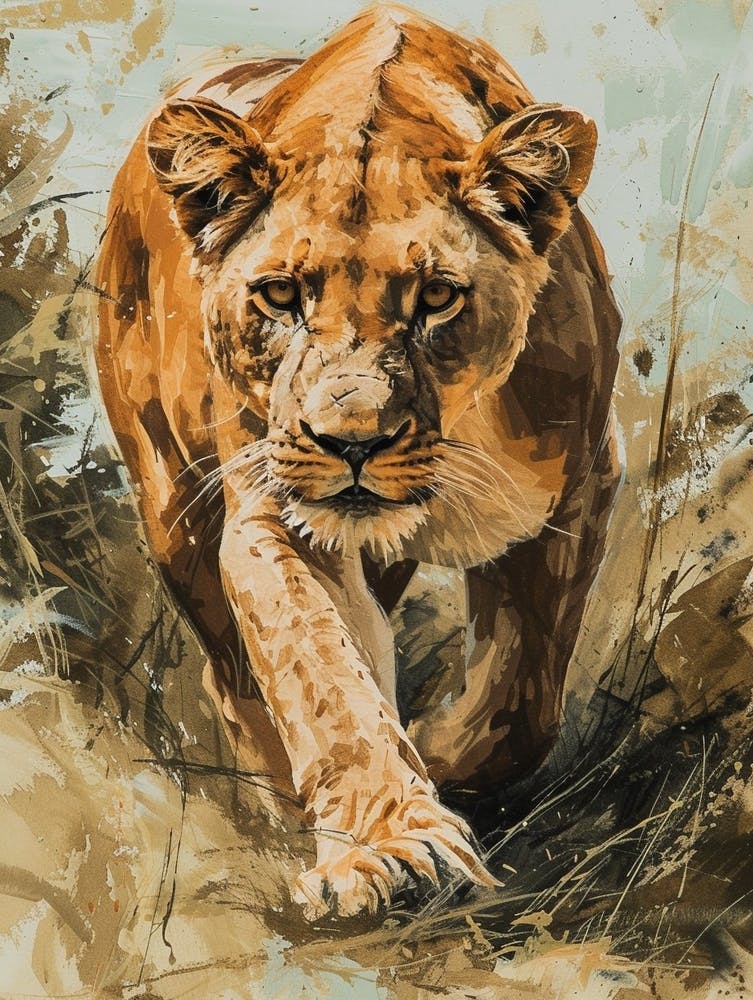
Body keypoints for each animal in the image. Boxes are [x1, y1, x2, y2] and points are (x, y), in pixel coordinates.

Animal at [96, 5, 621, 918]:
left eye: (437, 296)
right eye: (280, 295)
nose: (351, 441)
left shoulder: (577, 489)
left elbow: (522, 695)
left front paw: (439, 761)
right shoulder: (277, 510)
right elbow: (326, 677)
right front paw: (392, 848)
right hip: (172, 507)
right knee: (235, 677)